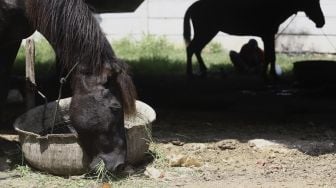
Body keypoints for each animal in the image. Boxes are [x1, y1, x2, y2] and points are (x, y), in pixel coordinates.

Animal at [184, 0, 326, 78]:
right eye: (313, 2)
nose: (321, 22)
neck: (274, 8)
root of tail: (194, 5)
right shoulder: (267, 36)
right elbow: (269, 56)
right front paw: (267, 76)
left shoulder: (269, 36)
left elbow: (271, 56)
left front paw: (272, 75)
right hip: (206, 32)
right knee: (191, 48)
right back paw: (190, 73)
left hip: (207, 32)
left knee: (196, 49)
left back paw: (203, 70)